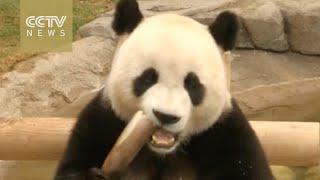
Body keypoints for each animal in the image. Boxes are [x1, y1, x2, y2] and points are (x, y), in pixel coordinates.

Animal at [53, 0, 274, 179]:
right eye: (147, 78)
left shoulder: (226, 133)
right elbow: (72, 167)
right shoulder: (102, 121)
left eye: (193, 85)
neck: (162, 153)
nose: (165, 116)